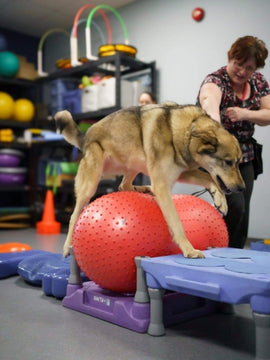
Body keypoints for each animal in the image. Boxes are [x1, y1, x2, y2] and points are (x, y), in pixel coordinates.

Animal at [54, 104, 245, 258]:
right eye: (228, 162)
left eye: (238, 162)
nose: (242, 188)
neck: (188, 131)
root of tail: (86, 135)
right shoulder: (163, 184)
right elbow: (177, 223)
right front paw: (188, 249)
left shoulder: (181, 172)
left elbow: (208, 177)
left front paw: (220, 201)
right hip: (91, 184)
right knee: (74, 216)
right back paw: (67, 246)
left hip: (136, 163)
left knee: (124, 185)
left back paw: (145, 189)